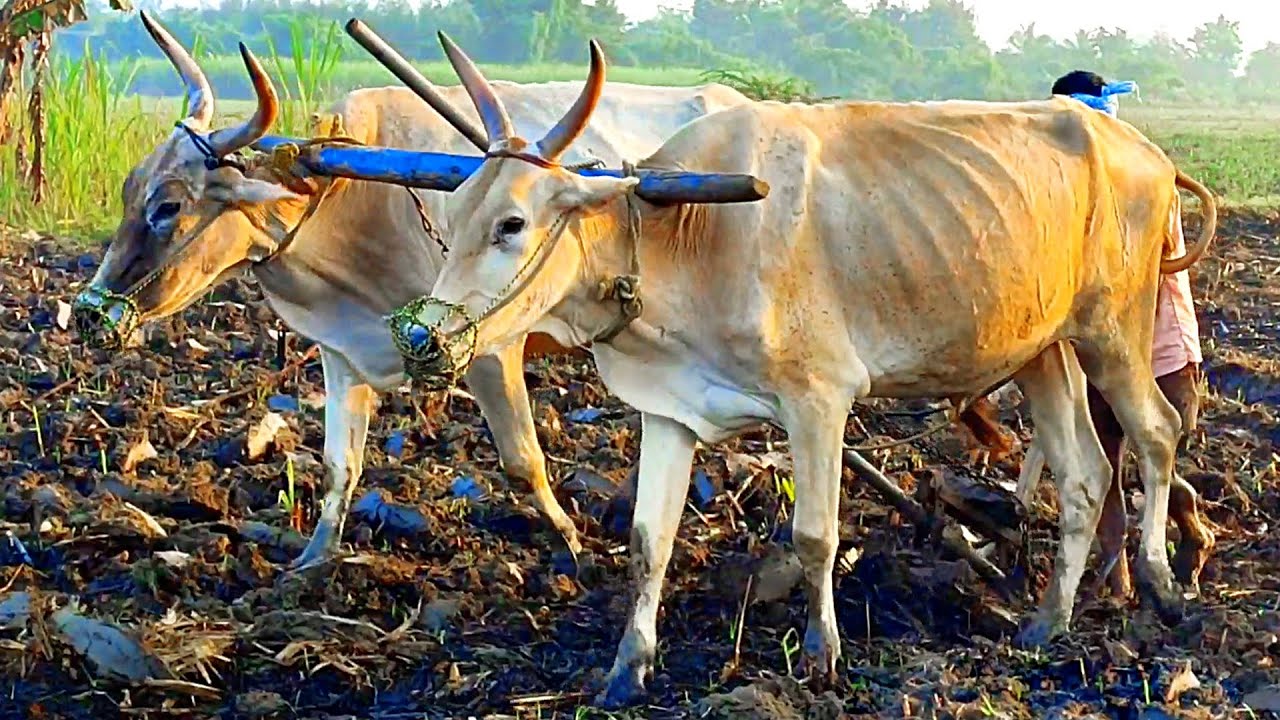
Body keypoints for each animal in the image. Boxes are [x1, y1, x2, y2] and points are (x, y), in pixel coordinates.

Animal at [70, 12, 751, 570]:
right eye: (130, 189)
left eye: (168, 206)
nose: (88, 313)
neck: (354, 192)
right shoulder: (342, 350)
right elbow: (338, 467)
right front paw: (310, 564)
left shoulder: (488, 346)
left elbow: (522, 461)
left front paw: (573, 545)